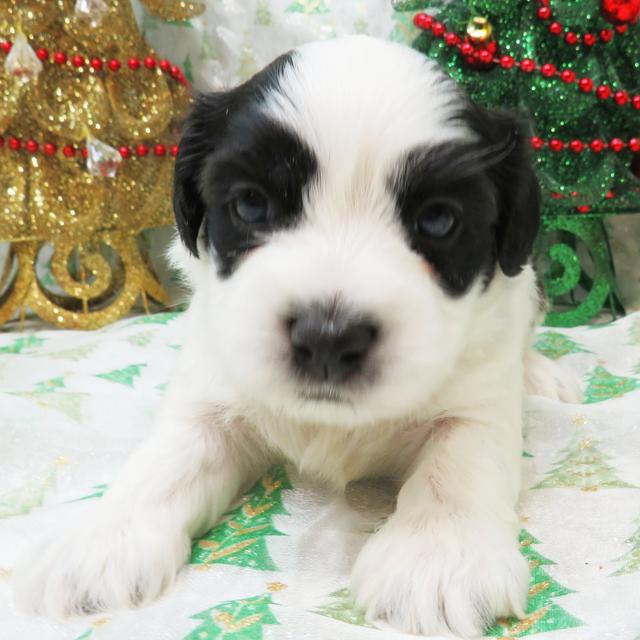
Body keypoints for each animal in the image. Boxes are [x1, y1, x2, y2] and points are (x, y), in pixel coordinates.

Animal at [13, 36, 576, 640]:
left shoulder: (478, 400)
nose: (328, 339)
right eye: (251, 205)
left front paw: (437, 559)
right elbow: (167, 460)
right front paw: (99, 540)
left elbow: (458, 464)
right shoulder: (213, 387)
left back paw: (542, 374)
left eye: (439, 221)